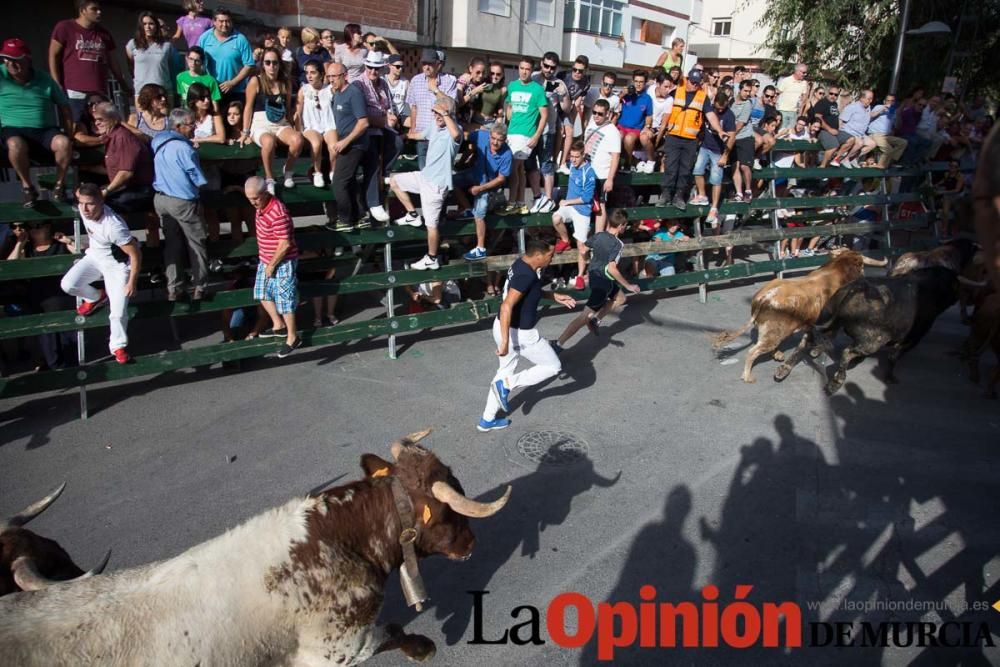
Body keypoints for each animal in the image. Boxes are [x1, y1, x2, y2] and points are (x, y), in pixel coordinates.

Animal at [0, 430, 512, 664]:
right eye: (448, 512)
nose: (472, 543)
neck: (338, 539)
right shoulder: (333, 648)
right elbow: (392, 631)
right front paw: (422, 646)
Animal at [716, 249, 888, 386]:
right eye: (863, 266)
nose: (864, 276)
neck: (836, 272)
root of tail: (765, 297)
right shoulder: (830, 322)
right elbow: (820, 339)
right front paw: (815, 352)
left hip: (772, 332)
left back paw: (778, 355)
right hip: (773, 334)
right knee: (753, 351)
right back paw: (748, 376)